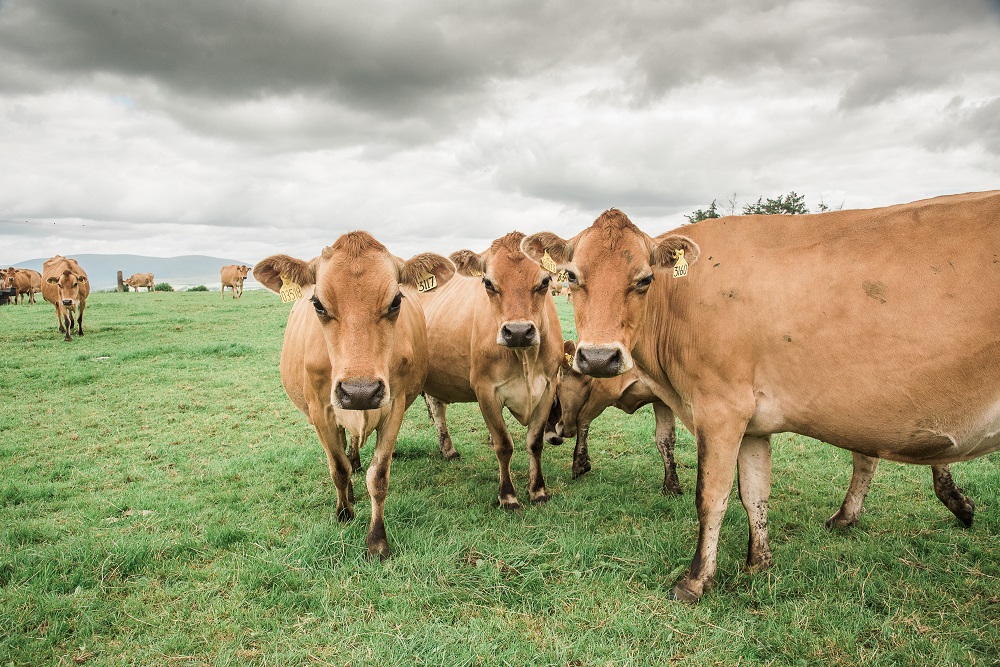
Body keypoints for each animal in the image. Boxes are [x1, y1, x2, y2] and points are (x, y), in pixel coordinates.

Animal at [253, 232, 453, 559]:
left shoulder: (395, 405)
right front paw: (344, 512)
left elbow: (378, 476)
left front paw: (377, 540)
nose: (360, 392)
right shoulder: (320, 411)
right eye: (318, 304)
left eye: (396, 301)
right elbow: (337, 468)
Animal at [419, 232, 563, 510]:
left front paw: (538, 491)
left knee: (437, 406)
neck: (525, 358)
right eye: (487, 282)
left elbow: (535, 442)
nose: (518, 331)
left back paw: (448, 449)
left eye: (545, 281)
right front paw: (508, 496)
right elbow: (503, 444)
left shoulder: (548, 386)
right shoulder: (485, 390)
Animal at [555, 340, 682, 495]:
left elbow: (583, 418)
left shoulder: (605, 390)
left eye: (557, 386)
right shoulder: (662, 400)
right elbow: (665, 439)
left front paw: (580, 464)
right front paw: (671, 486)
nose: (559, 426)